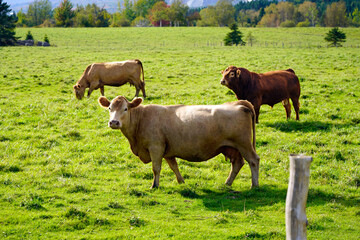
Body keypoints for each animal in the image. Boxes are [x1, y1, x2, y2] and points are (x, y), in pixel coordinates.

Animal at [98, 96, 260, 188]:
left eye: (125, 109)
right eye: (110, 108)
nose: (114, 122)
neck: (142, 118)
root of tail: (239, 103)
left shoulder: (156, 147)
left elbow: (156, 168)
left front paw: (155, 185)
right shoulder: (168, 151)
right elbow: (174, 166)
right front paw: (181, 182)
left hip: (244, 145)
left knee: (254, 161)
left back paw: (254, 185)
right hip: (231, 148)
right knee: (237, 164)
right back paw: (227, 183)